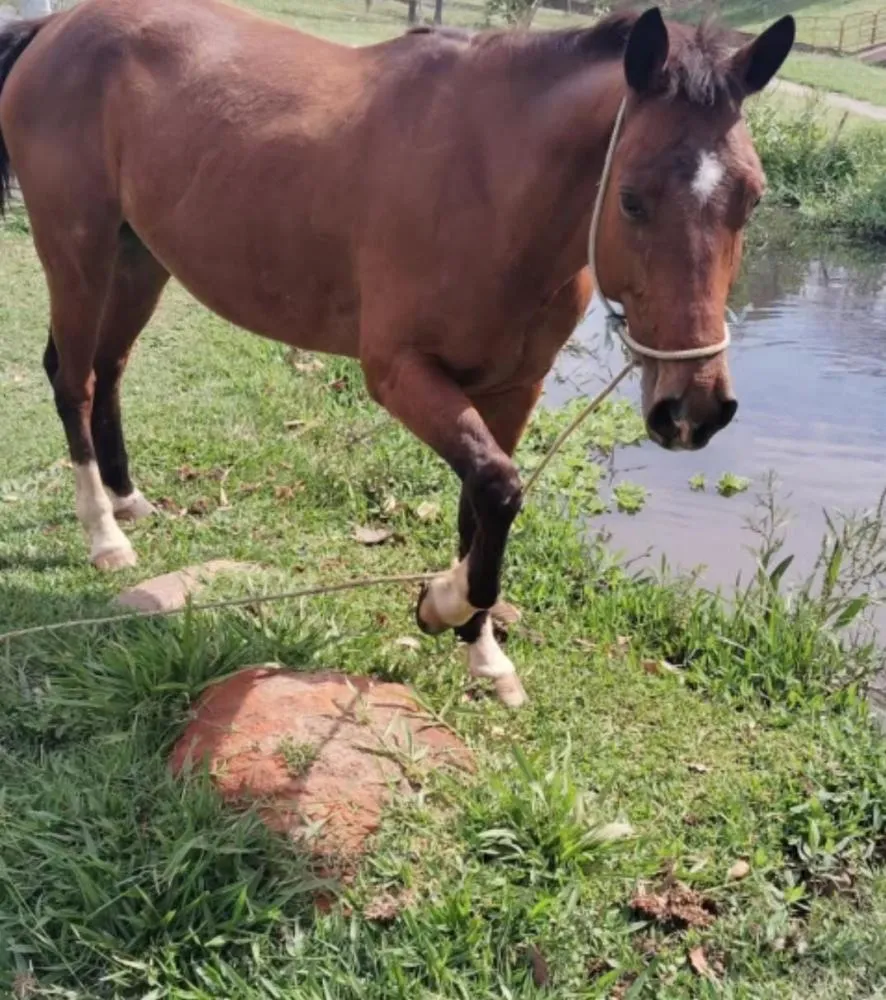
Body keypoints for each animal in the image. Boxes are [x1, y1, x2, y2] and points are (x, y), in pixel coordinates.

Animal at [0, 0, 794, 706]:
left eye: (752, 199)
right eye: (630, 199)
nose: (693, 409)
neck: (490, 181)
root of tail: (59, 25)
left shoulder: (514, 389)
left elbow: (483, 506)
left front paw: (483, 654)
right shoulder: (400, 374)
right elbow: (498, 488)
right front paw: (442, 605)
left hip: (140, 257)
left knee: (110, 371)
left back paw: (127, 499)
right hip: (79, 250)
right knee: (72, 379)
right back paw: (102, 533)